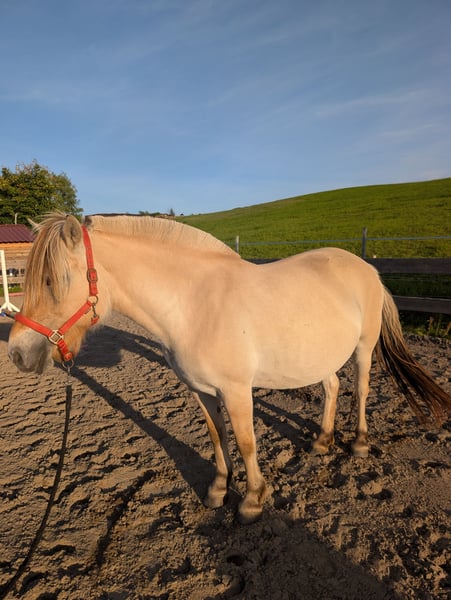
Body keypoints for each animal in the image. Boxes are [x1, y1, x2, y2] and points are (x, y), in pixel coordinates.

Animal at [8, 213, 451, 524]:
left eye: (53, 281)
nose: (17, 353)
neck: (193, 304)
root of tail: (367, 267)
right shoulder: (200, 390)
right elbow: (217, 436)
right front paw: (219, 490)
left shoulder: (237, 391)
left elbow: (247, 441)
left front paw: (253, 501)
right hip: (320, 355)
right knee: (331, 387)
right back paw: (322, 442)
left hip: (363, 348)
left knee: (360, 390)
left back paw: (357, 443)